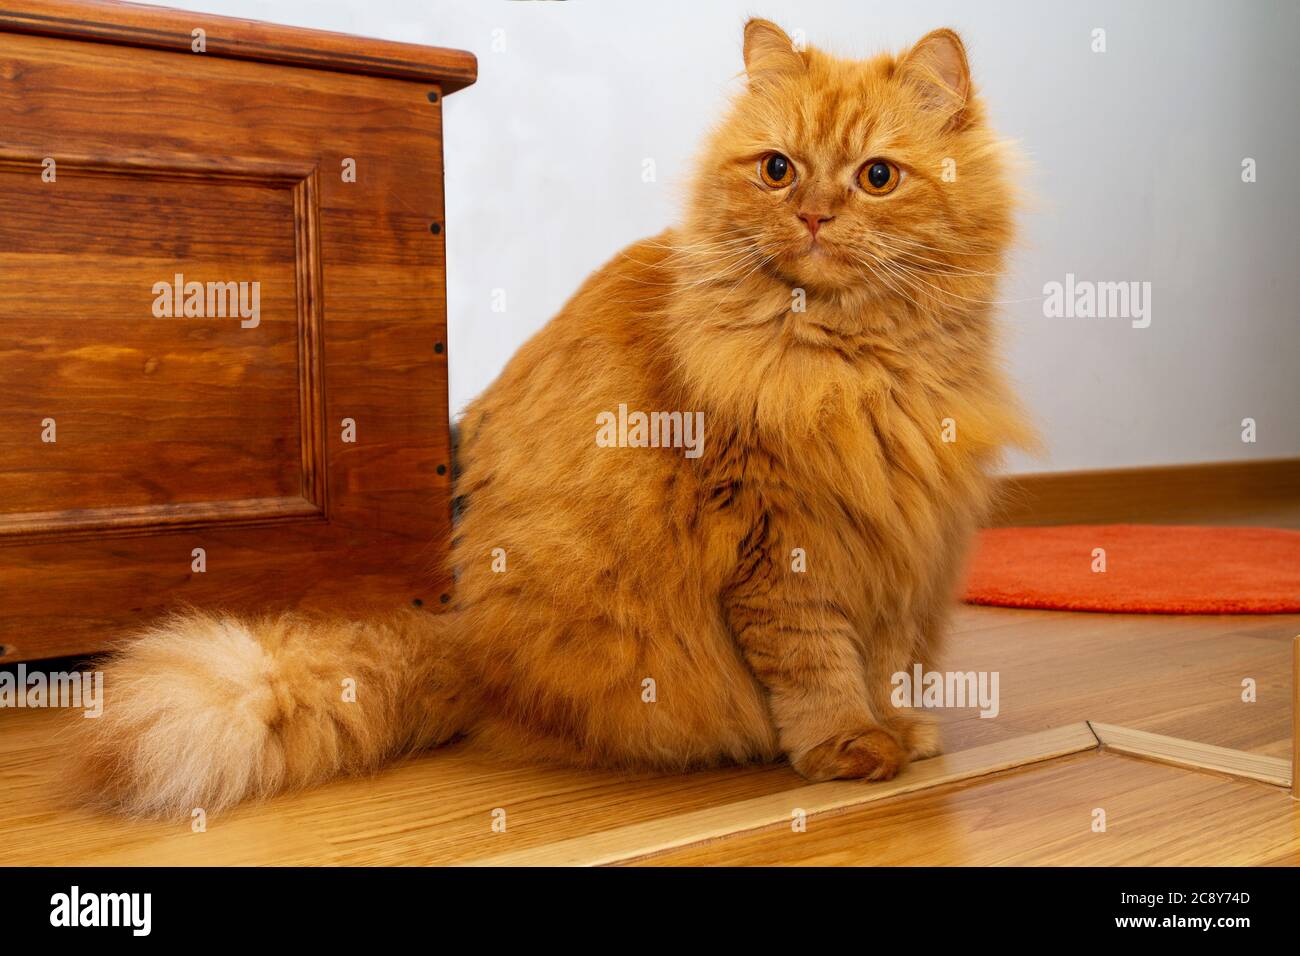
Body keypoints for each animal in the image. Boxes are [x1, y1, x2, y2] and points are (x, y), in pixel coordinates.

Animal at [76, 20, 1034, 816]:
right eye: (778, 169)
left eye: (877, 177)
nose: (813, 215)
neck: (859, 365)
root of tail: (459, 638)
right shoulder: (783, 548)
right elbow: (819, 671)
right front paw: (849, 746)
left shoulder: (905, 544)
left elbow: (888, 664)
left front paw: (900, 731)